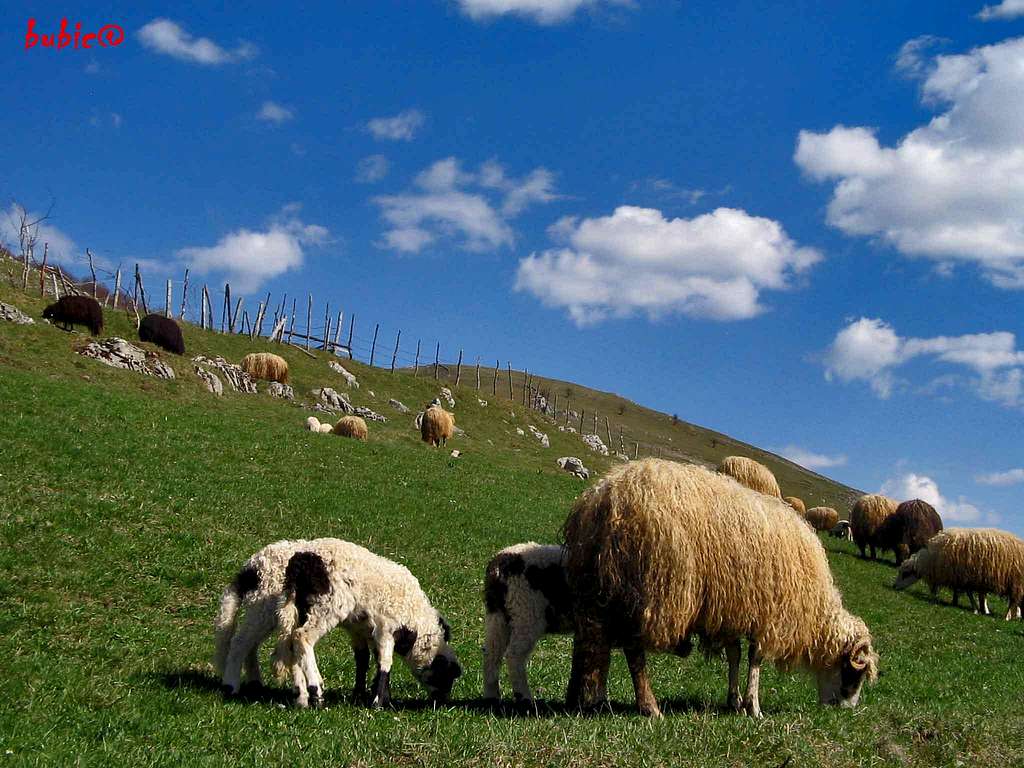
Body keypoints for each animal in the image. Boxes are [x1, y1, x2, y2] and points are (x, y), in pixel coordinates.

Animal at [218, 536, 462, 708]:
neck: (415, 622)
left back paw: (287, 692)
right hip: (315, 606)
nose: (442, 702)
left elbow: (364, 660)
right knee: (281, 639)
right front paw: (378, 702)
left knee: (275, 644)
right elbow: (385, 662)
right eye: (446, 675)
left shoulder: (361, 629)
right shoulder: (386, 627)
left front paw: (362, 695)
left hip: (287, 610)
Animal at [481, 544, 573, 708]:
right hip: (525, 613)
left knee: (491, 653)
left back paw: (491, 697)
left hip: (498, 615)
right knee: (514, 655)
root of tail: (498, 564)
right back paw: (525, 699)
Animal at [565, 460, 876, 720]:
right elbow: (754, 659)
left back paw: (580, 700)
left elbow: (735, 655)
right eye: (852, 674)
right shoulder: (768, 615)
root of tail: (603, 498)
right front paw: (753, 707)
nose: (847, 710)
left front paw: (734, 701)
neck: (814, 611)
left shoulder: (732, 610)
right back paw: (649, 707)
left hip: (598, 585)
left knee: (588, 641)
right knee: (633, 650)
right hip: (652, 587)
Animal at [888, 528, 1024, 618]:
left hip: (1016, 582)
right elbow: (962, 591)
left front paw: (974, 609)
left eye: (905, 574)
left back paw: (1006, 617)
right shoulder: (962, 577)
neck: (931, 560)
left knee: (1013, 600)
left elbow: (968, 593)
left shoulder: (964, 576)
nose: (894, 586)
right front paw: (957, 602)